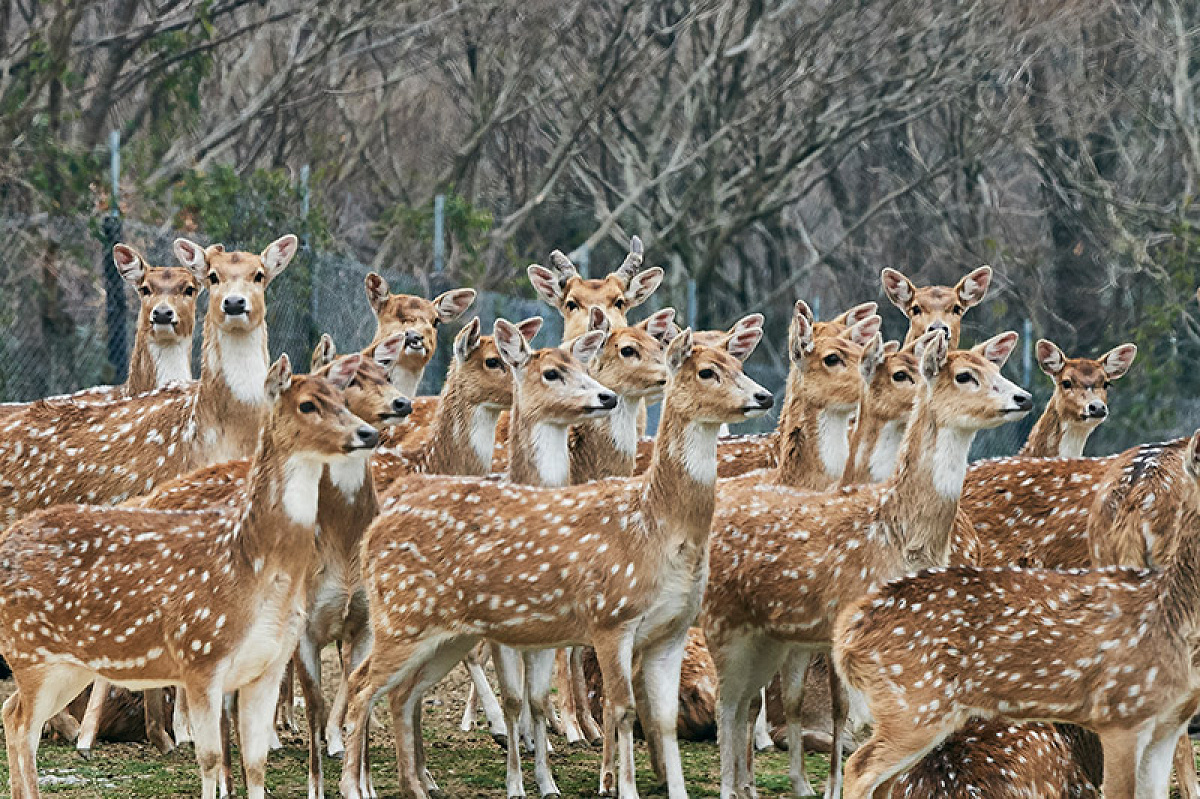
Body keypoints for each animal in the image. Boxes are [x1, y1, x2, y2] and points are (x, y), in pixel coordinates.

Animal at [0, 352, 379, 796]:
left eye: (343, 398)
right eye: (307, 404)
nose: (368, 433)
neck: (251, 567)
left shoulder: (267, 666)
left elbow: (256, 764)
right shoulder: (200, 655)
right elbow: (210, 758)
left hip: (68, 664)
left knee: (11, 712)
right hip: (29, 651)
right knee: (22, 723)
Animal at [338, 323, 772, 796]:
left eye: (740, 364)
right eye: (708, 371)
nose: (765, 396)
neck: (657, 528)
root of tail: (374, 531)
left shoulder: (671, 630)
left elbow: (661, 719)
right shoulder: (611, 618)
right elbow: (622, 709)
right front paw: (618, 785)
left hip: (446, 635)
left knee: (402, 693)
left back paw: (416, 785)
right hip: (401, 618)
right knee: (361, 685)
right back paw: (354, 784)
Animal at [700, 326, 1032, 796]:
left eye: (995, 367)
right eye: (965, 375)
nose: (1023, 397)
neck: (897, 534)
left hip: (769, 635)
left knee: (744, 699)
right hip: (722, 620)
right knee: (724, 702)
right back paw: (731, 785)